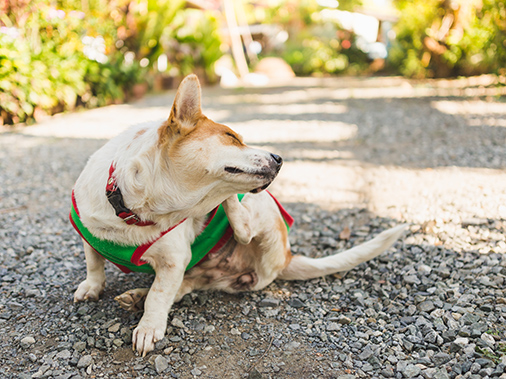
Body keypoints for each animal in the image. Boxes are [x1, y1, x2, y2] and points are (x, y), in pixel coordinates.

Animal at [71, 74, 408, 356]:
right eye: (232, 136)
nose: (279, 158)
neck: (135, 209)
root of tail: (287, 256)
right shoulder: (90, 233)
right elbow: (94, 262)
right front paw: (92, 287)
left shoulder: (173, 260)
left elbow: (160, 295)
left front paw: (148, 327)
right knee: (185, 285)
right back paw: (137, 295)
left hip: (264, 211)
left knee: (241, 227)